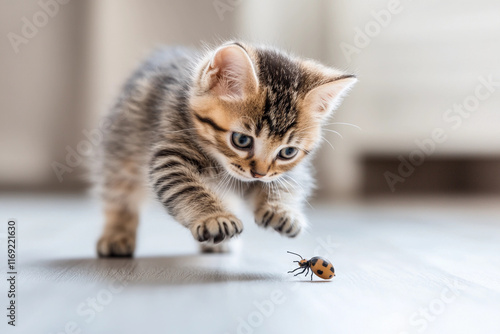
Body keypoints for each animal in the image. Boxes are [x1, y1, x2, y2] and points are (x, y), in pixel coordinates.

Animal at [95, 41, 356, 256]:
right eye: (241, 140)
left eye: (287, 152)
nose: (259, 173)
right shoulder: (170, 156)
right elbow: (187, 188)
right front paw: (214, 216)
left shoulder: (286, 171)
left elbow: (287, 185)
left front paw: (282, 210)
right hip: (121, 149)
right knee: (119, 194)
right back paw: (117, 235)